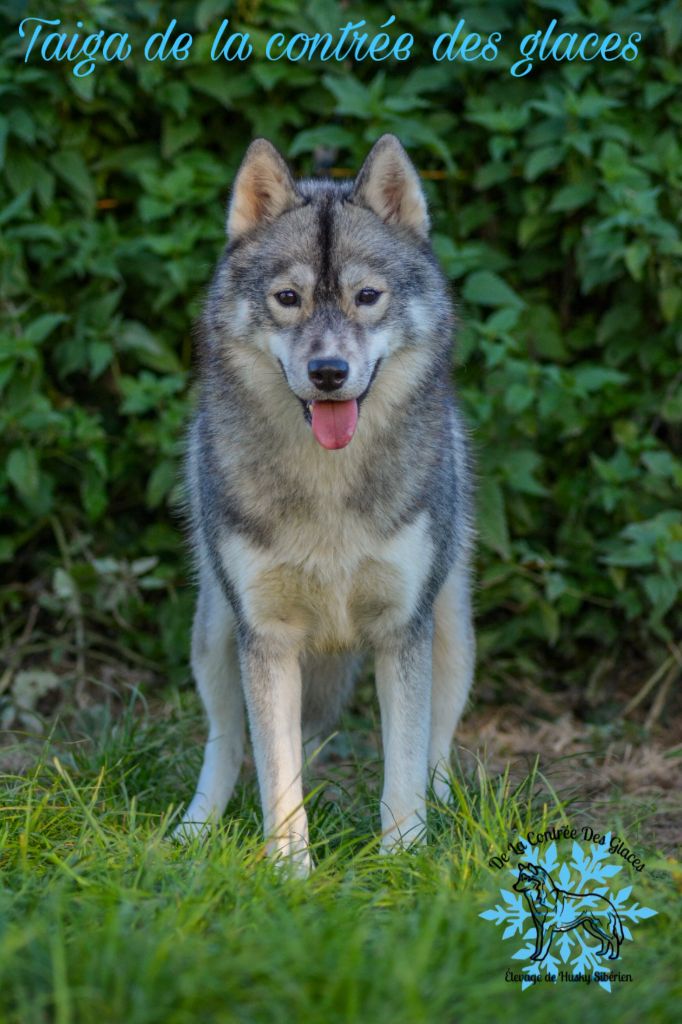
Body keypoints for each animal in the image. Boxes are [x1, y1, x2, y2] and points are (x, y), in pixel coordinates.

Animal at [175, 136, 473, 872]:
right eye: (289, 298)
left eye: (367, 297)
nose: (329, 372)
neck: (329, 484)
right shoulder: (267, 638)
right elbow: (277, 776)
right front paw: (290, 873)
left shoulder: (403, 631)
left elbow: (403, 769)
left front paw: (404, 861)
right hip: (216, 634)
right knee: (227, 742)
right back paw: (194, 831)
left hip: (453, 635)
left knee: (437, 749)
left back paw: (454, 818)